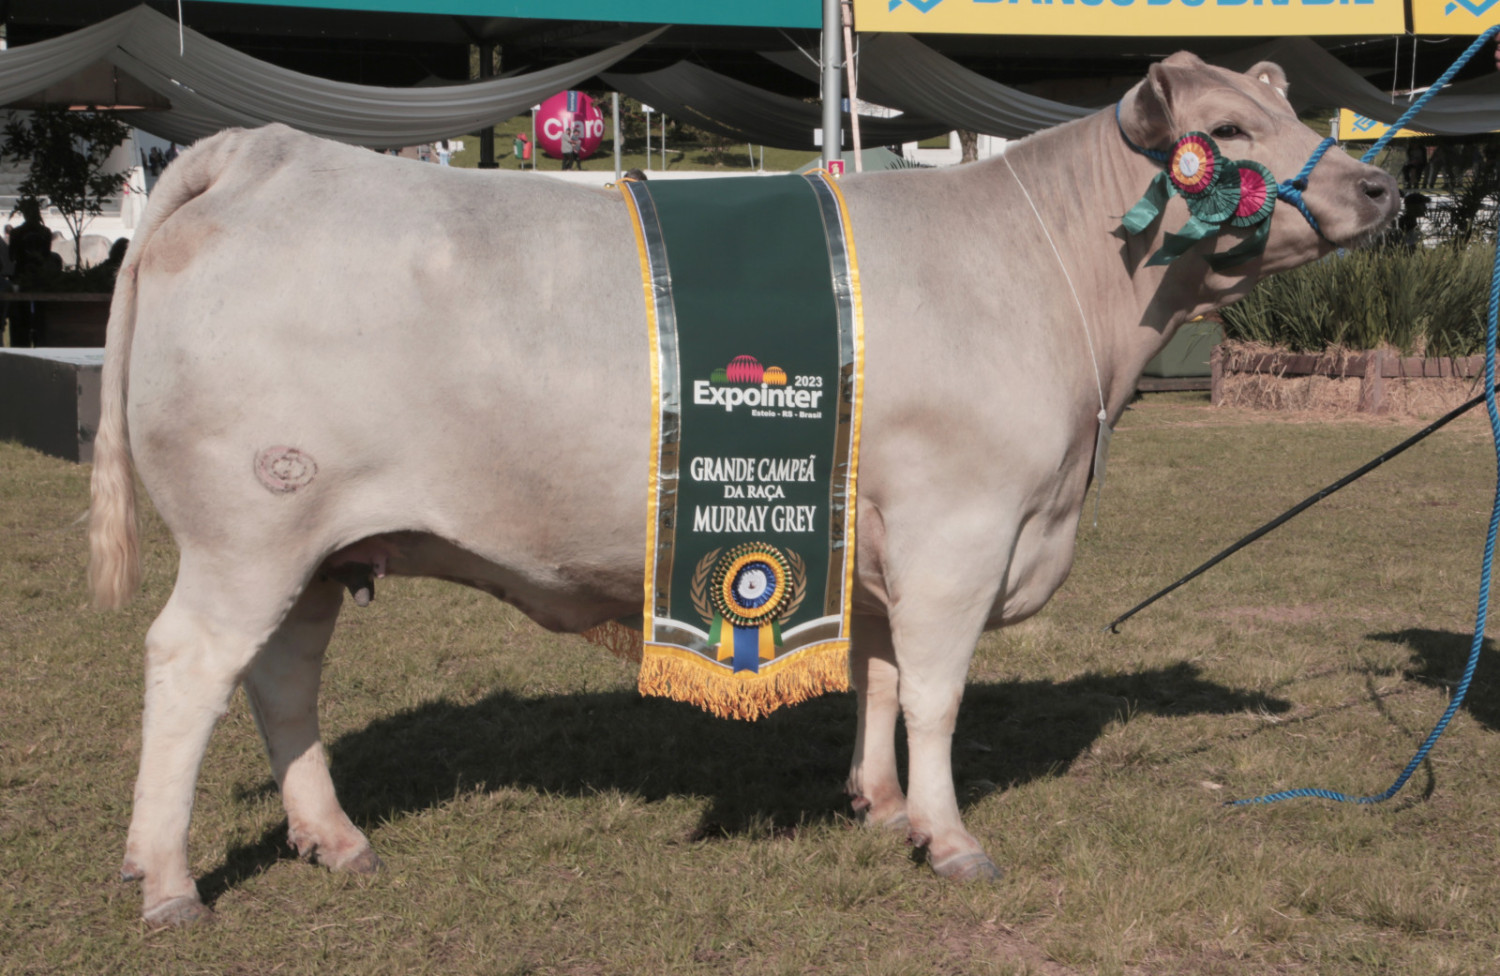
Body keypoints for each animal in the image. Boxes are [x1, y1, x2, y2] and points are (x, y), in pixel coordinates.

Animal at [87, 51, 1398, 923]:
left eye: (1291, 107)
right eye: (1226, 130)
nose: (1386, 191)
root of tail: (265, 150)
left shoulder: (877, 540)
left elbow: (878, 675)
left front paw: (880, 803)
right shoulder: (961, 527)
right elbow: (937, 692)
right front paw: (951, 837)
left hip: (315, 547)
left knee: (283, 679)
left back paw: (334, 837)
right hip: (249, 529)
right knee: (189, 666)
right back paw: (168, 879)